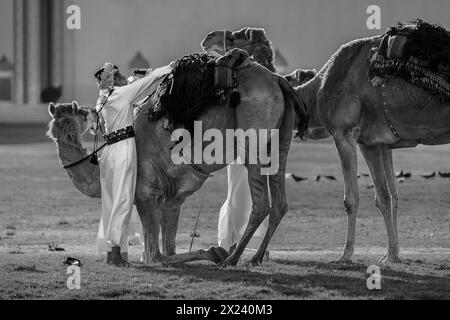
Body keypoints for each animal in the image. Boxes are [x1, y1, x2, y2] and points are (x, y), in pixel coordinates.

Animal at [48, 49, 310, 264]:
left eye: (82, 112)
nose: (90, 113)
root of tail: (277, 79)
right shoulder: (172, 200)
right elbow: (168, 249)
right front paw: (212, 251)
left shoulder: (145, 194)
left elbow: (154, 256)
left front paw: (214, 251)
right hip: (281, 137)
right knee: (279, 201)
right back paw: (254, 258)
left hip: (252, 134)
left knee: (261, 202)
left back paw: (232, 258)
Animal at [204, 27, 450, 262]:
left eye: (236, 36)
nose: (208, 37)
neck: (317, 91)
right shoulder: (377, 142)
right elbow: (391, 196)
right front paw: (393, 254)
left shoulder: (347, 134)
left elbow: (359, 199)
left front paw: (348, 255)